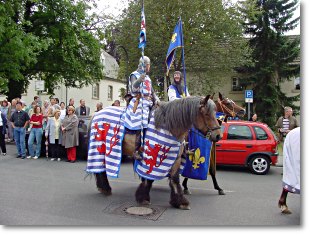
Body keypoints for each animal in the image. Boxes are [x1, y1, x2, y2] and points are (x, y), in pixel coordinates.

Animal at [93, 95, 222, 209]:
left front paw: (180, 202)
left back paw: (104, 188)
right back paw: (105, 188)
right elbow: (149, 178)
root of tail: (99, 113)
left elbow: (175, 179)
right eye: (206, 114)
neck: (170, 126)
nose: (218, 136)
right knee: (100, 168)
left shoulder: (176, 159)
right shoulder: (152, 157)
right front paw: (143, 198)